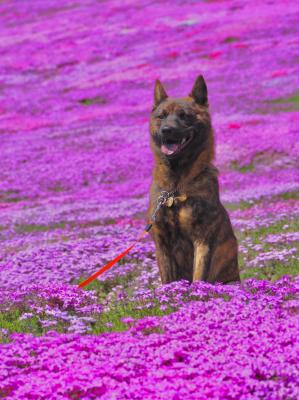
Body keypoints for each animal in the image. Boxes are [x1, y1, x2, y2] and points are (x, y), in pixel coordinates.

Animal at [148, 75, 241, 284]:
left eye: (184, 115)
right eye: (161, 116)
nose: (166, 130)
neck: (176, 187)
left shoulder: (202, 239)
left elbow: (199, 276)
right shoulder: (162, 243)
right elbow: (167, 280)